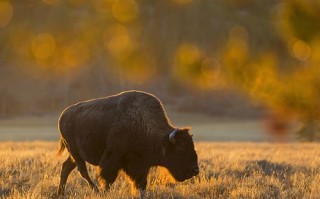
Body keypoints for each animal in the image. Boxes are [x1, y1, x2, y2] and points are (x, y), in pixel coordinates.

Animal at [56, 90, 199, 197]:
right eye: (180, 149)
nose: (195, 170)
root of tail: (63, 115)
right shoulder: (113, 159)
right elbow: (108, 179)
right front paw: (105, 193)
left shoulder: (141, 165)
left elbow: (141, 184)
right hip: (74, 150)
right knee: (82, 170)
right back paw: (96, 191)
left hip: (75, 154)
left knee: (66, 167)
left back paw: (61, 193)